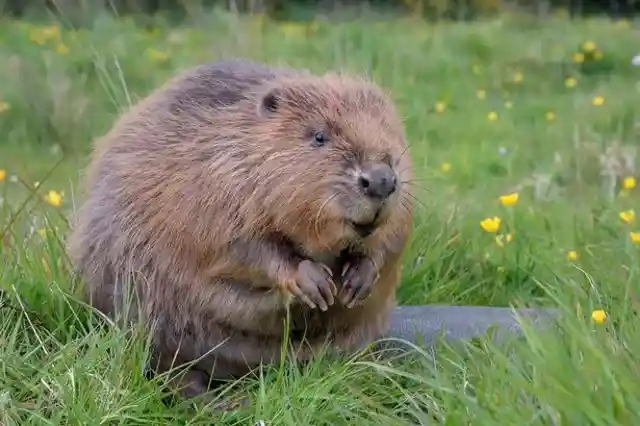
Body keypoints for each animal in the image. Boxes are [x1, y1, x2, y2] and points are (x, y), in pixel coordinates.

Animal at [65, 57, 416, 402]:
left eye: (389, 131)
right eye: (319, 136)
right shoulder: (215, 186)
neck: (241, 141)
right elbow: (242, 248)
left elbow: (392, 239)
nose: (381, 180)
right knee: (166, 366)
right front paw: (314, 283)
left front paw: (358, 278)